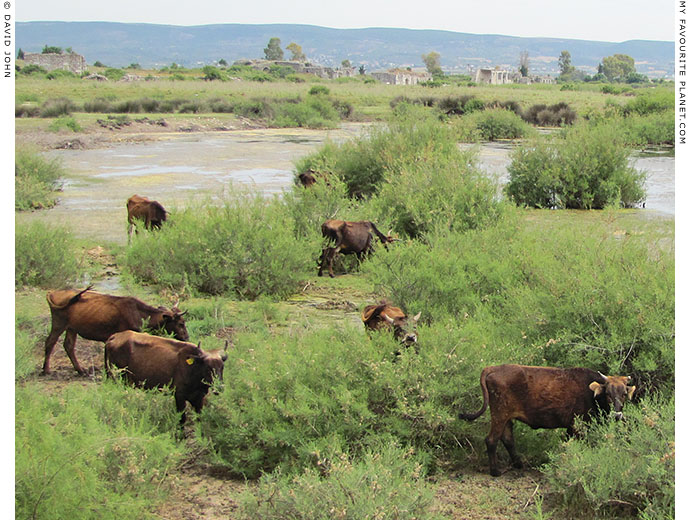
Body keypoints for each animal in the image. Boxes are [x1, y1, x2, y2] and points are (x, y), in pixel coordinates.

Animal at [42, 286, 188, 376]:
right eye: (180, 323)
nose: (186, 337)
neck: (139, 313)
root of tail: (52, 293)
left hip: (72, 328)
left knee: (68, 345)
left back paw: (81, 370)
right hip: (59, 324)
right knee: (50, 342)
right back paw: (46, 370)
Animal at [456, 364, 636, 478]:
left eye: (624, 394)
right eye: (608, 394)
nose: (617, 414)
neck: (591, 392)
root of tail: (494, 368)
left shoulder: (570, 427)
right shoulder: (577, 425)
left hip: (506, 417)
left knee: (507, 439)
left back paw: (518, 464)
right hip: (500, 414)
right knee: (492, 439)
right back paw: (495, 471)